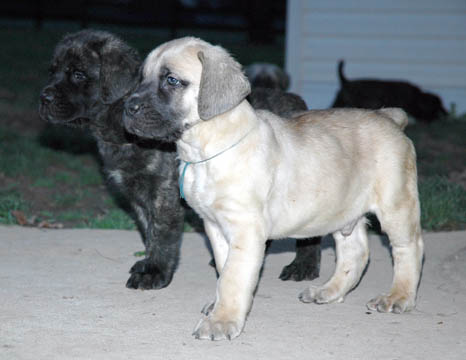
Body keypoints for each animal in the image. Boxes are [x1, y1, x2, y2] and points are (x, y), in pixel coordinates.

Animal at [38, 29, 184, 292]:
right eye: (52, 71)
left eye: (78, 74)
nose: (44, 98)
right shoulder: (138, 196)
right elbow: (148, 230)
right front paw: (147, 264)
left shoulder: (164, 195)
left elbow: (161, 233)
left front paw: (154, 272)